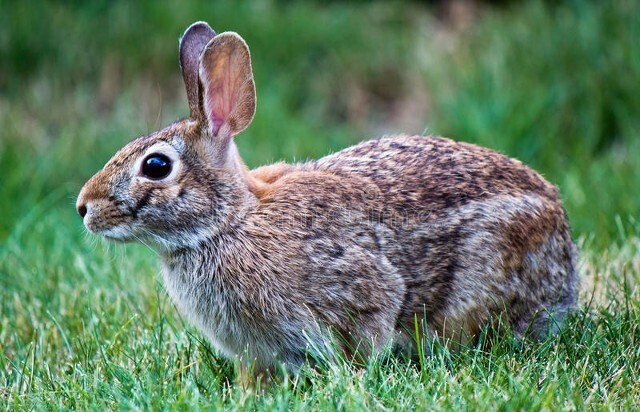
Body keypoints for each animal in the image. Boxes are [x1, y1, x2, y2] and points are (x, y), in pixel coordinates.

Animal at [77, 21, 576, 376]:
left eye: (156, 166)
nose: (84, 207)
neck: (230, 222)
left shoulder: (359, 287)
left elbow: (372, 322)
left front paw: (353, 379)